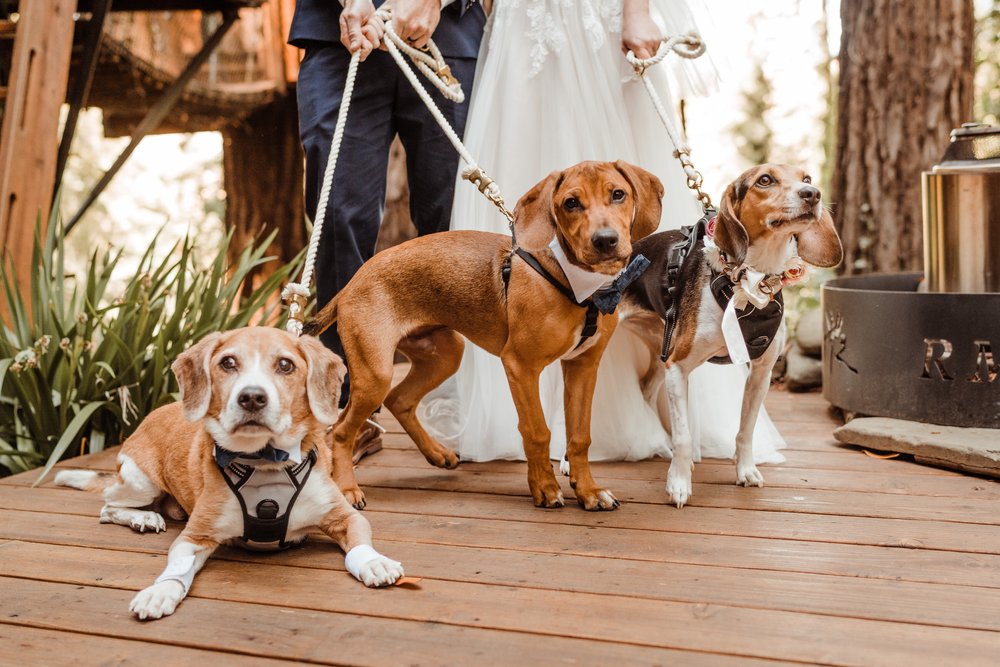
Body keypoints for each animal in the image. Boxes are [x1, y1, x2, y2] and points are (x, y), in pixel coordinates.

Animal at [55, 328, 402, 620]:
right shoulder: (195, 537)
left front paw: (373, 561)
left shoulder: (345, 516)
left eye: (285, 365)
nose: (251, 397)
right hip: (141, 482)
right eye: (228, 363)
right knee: (107, 506)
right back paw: (144, 518)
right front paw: (160, 591)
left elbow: (359, 544)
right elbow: (177, 567)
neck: (264, 462)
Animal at [304, 160, 664, 512]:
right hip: (375, 372)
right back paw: (348, 489)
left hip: (446, 354)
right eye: (571, 203)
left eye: (618, 194)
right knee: (341, 430)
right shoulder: (520, 366)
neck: (574, 282)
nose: (605, 240)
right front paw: (545, 489)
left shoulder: (583, 365)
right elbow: (537, 431)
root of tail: (351, 283)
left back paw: (437, 453)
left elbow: (579, 437)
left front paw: (589, 491)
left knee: (399, 399)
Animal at [620, 166, 840, 506]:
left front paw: (745, 471)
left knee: (644, 391)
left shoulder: (761, 373)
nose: (812, 194)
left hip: (660, 353)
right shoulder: (678, 367)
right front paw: (679, 483)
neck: (752, 281)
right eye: (765, 180)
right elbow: (684, 436)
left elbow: (745, 430)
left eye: (807, 177)